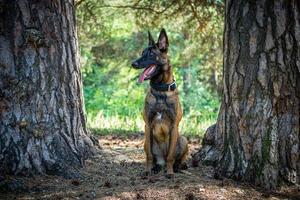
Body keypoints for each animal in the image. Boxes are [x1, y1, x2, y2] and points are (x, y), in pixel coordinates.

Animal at [131, 28, 188, 178]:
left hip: (183, 139)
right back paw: (156, 167)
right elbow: (149, 156)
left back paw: (178, 166)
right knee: (155, 157)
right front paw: (147, 170)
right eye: (142, 53)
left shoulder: (174, 126)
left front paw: (170, 172)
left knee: (177, 158)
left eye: (151, 54)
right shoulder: (148, 126)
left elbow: (171, 156)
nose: (133, 64)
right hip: (146, 142)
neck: (160, 91)